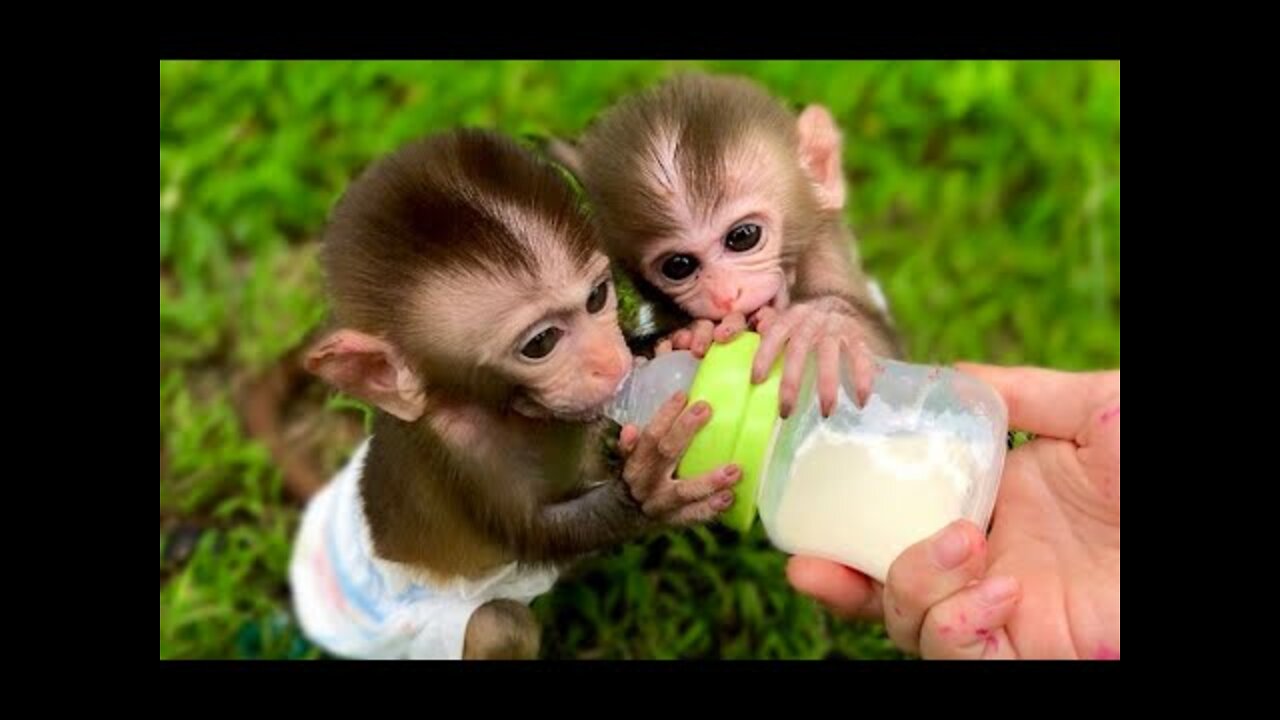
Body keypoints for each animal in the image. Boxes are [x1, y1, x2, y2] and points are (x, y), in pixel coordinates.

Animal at [285, 128, 737, 655]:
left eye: (597, 298)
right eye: (540, 343)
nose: (611, 363)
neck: (512, 411)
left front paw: (688, 338)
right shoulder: (460, 452)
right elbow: (535, 534)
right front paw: (649, 489)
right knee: (498, 624)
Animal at [555, 73, 906, 415]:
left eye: (743, 237)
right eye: (678, 266)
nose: (724, 296)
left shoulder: (824, 253)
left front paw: (822, 324)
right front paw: (693, 336)